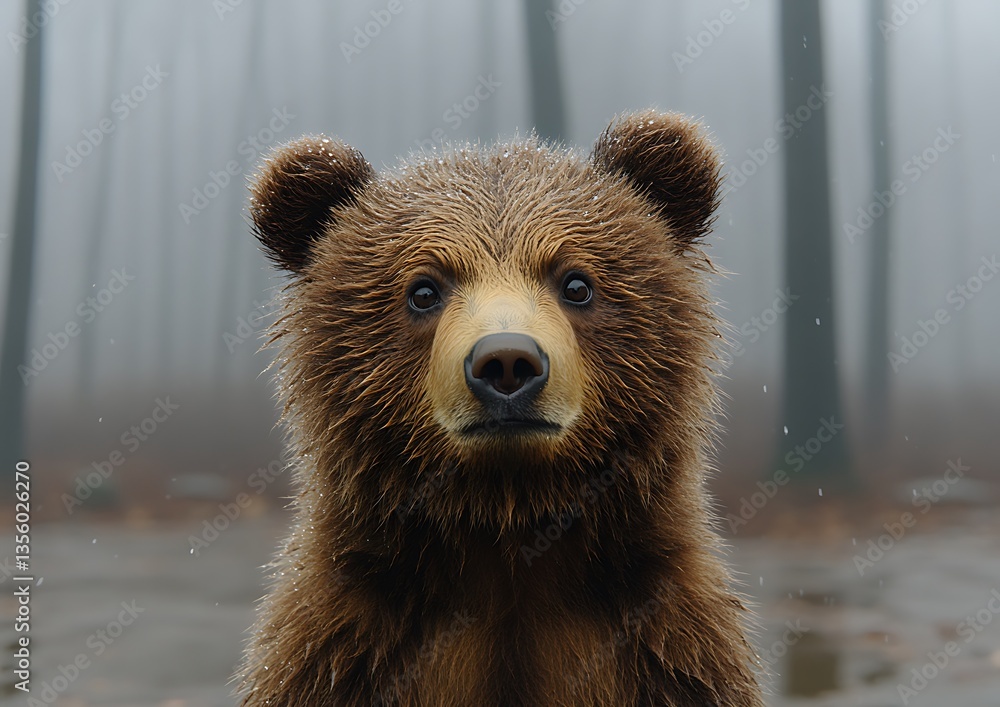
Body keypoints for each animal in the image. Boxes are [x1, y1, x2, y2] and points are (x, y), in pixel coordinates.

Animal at [237, 110, 763, 706]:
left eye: (576, 283)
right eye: (424, 290)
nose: (507, 362)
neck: (507, 524)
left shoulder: (666, 649)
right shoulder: (345, 650)